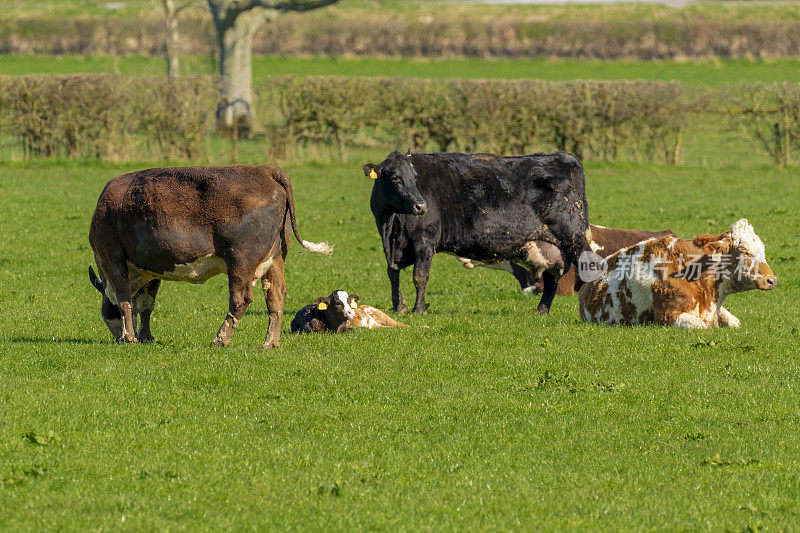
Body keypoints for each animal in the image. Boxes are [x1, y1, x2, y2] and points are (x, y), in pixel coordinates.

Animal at [89, 164, 332, 348]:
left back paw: (220, 339)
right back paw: (269, 343)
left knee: (240, 299)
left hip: (241, 262)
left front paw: (128, 337)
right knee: (275, 297)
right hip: (274, 261)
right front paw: (145, 337)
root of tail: (264, 169)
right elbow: (145, 304)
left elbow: (123, 300)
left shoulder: (112, 257)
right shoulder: (151, 269)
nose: (117, 337)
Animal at [366, 150, 592, 314]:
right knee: (552, 278)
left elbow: (420, 276)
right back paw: (541, 311)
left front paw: (418, 310)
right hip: (552, 247)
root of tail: (564, 156)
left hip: (574, 237)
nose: (421, 206)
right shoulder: (391, 248)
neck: (392, 227)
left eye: (414, 178)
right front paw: (399, 307)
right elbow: (392, 273)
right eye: (395, 178)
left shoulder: (424, 241)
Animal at [580, 217, 780, 326]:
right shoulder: (668, 315)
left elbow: (734, 323)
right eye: (745, 251)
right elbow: (701, 326)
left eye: (763, 250)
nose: (772, 280)